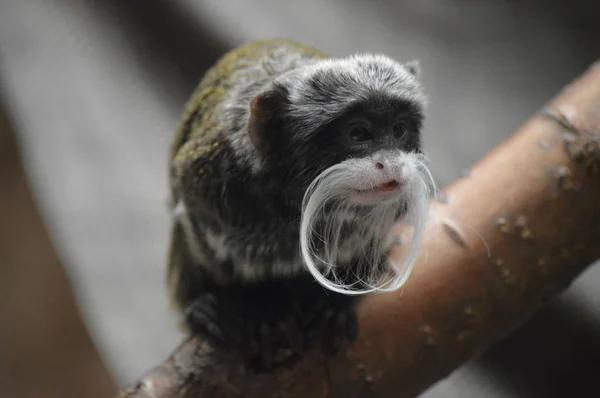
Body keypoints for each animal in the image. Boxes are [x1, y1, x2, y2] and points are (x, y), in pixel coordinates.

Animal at [166, 38, 434, 372]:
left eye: (399, 130)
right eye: (359, 133)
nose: (393, 163)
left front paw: (337, 300)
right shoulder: (206, 177)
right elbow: (196, 222)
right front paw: (260, 305)